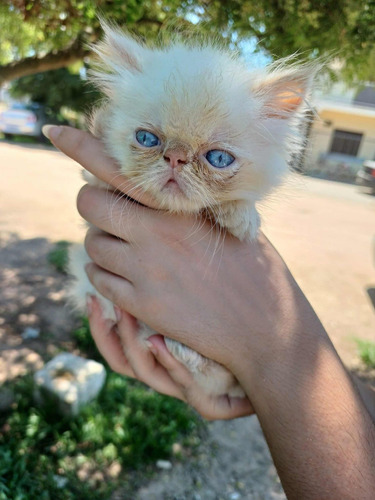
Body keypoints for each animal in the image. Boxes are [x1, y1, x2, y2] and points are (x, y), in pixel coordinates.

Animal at [69, 22, 316, 398]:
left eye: (218, 158)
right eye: (146, 139)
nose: (176, 157)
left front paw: (241, 218)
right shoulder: (96, 181)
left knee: (219, 378)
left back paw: (184, 352)